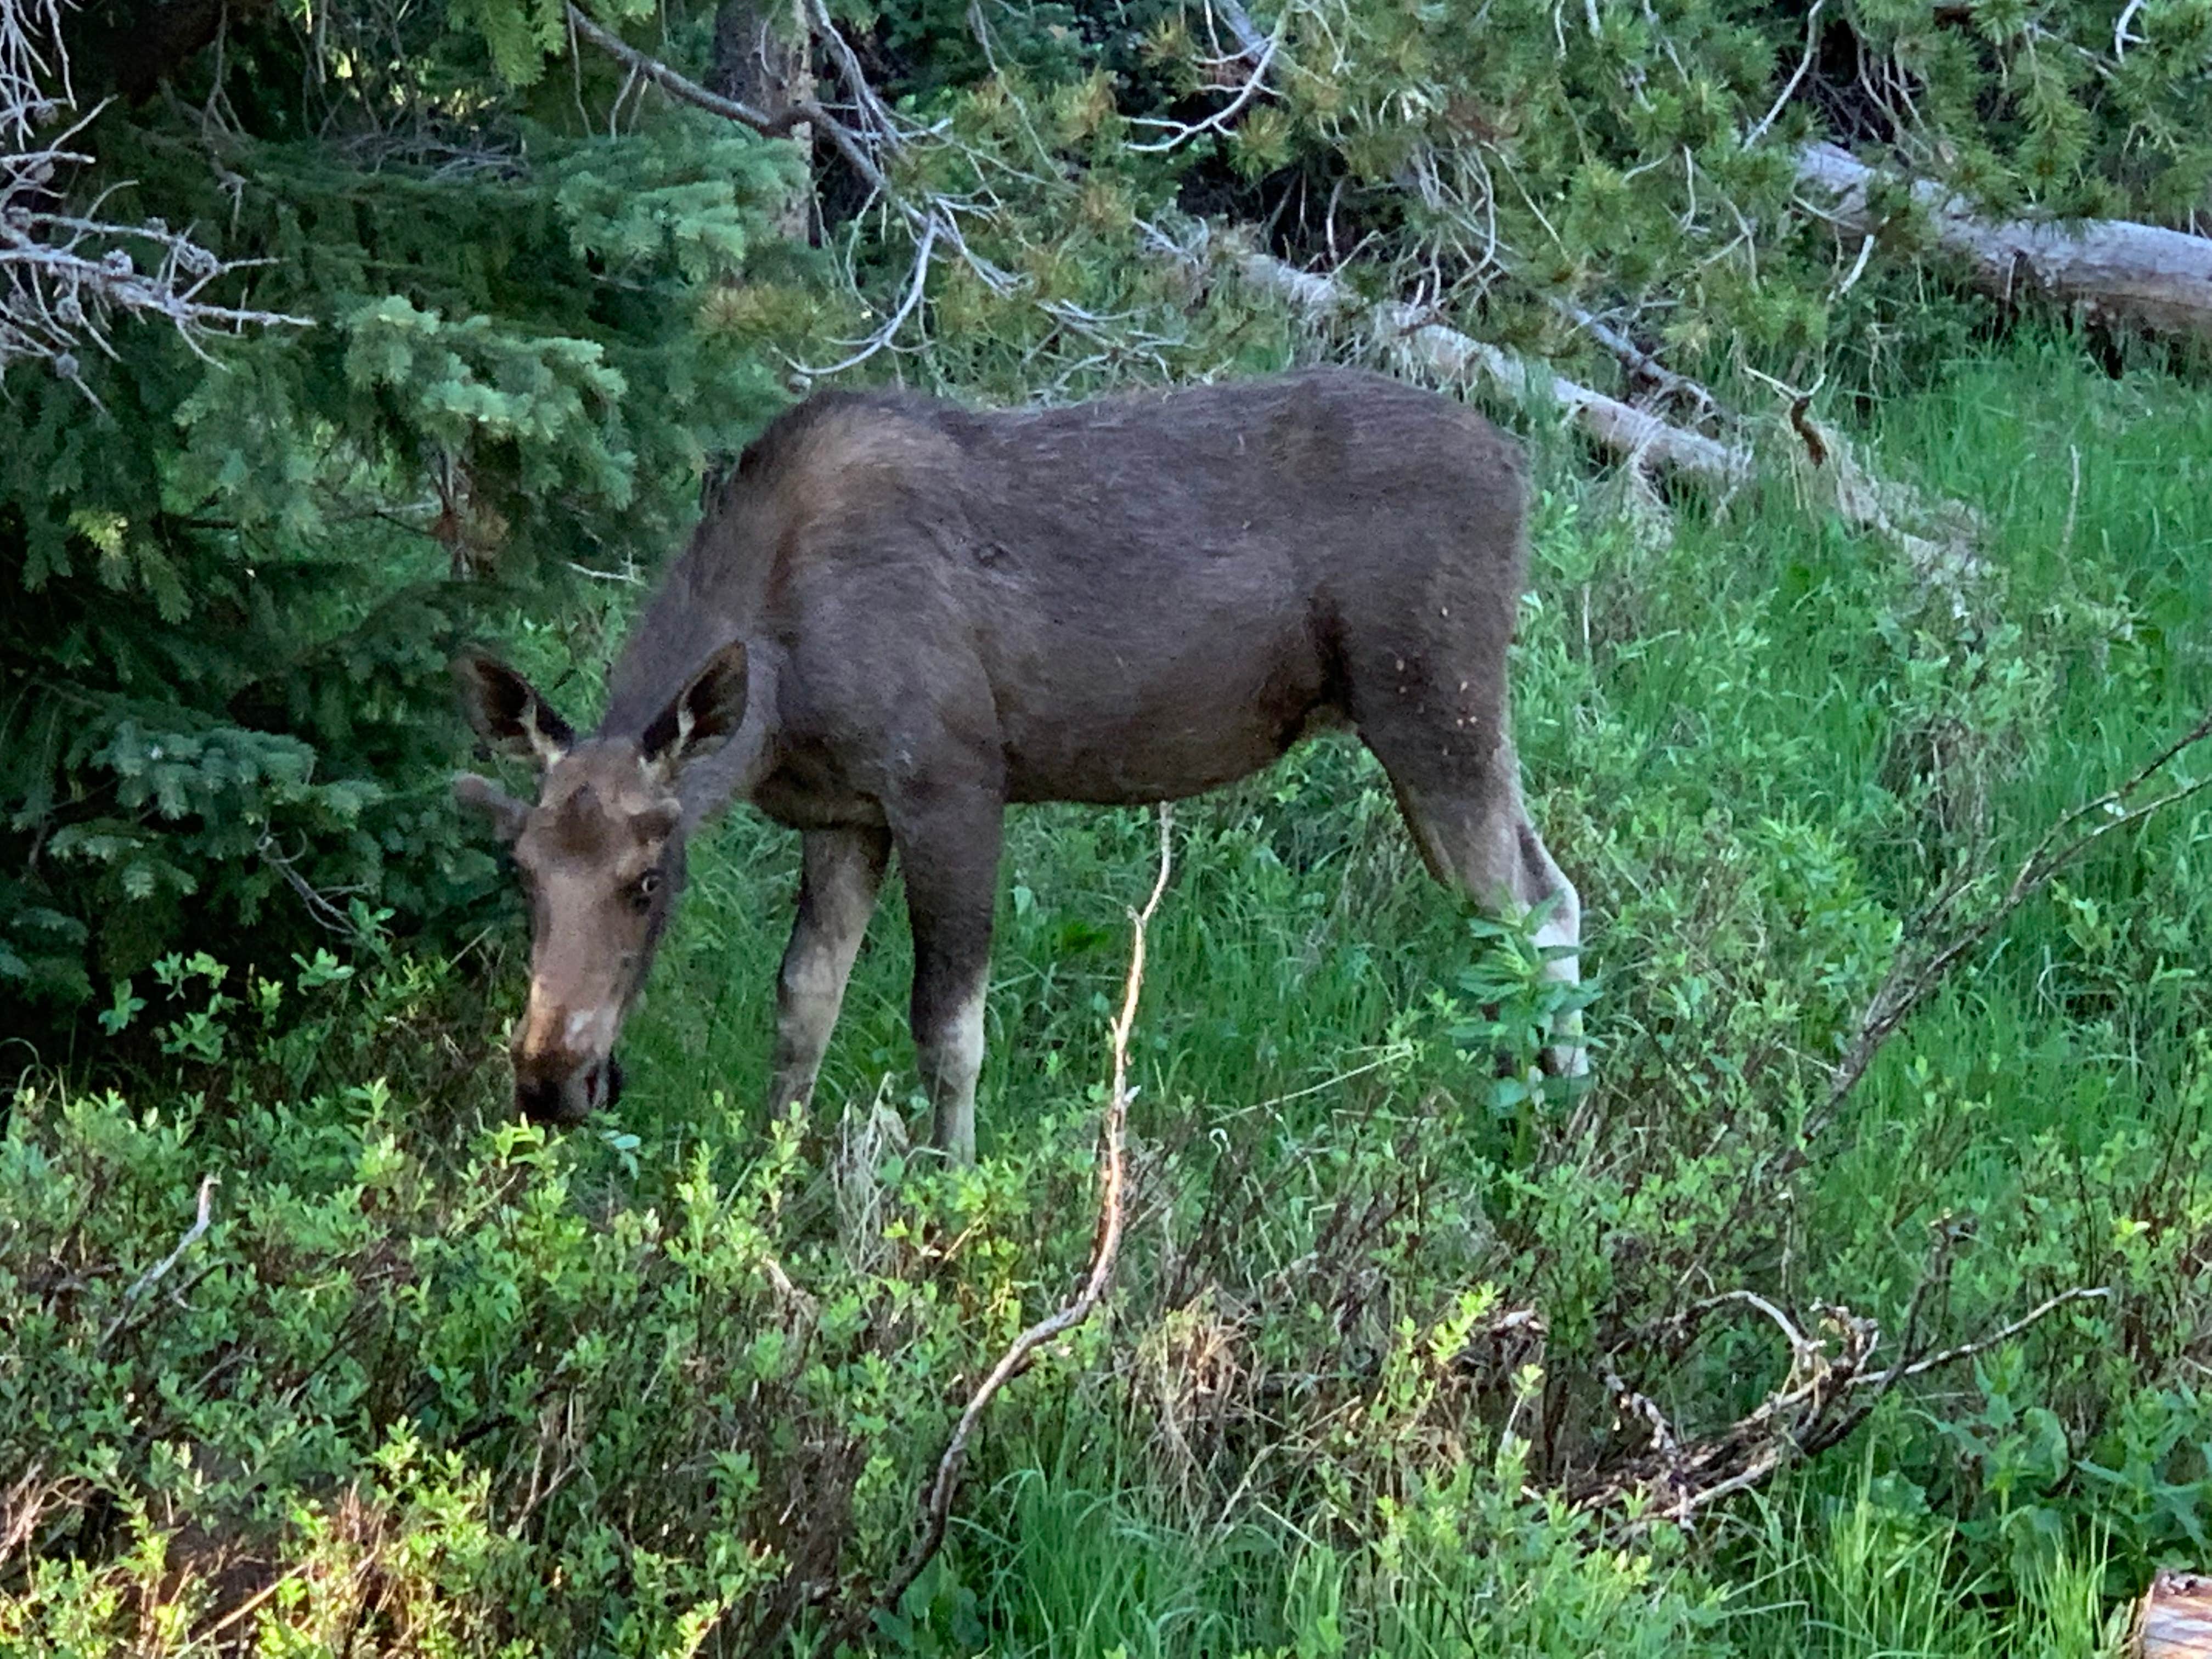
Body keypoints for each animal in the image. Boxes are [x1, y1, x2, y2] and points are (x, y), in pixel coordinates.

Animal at [458, 369, 1583, 1159]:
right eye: (522, 873)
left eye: (648, 881)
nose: (548, 1080)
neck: (780, 691)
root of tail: (1521, 467)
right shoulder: (846, 814)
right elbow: (803, 1003)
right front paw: (765, 1175)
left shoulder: (952, 784)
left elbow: (946, 1027)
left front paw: (949, 1188)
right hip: (1436, 721)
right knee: (1541, 897)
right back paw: (1536, 1111)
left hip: (1434, 703)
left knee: (1530, 907)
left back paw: (1550, 1126)